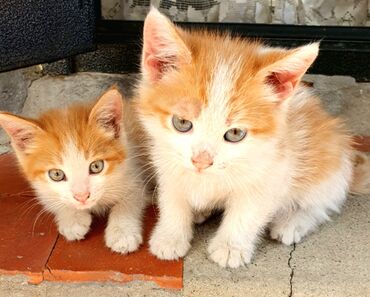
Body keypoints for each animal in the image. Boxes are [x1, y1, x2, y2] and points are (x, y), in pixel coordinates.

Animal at [0, 87, 147, 252]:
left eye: (96, 166)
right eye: (56, 174)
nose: (82, 196)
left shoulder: (135, 172)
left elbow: (130, 200)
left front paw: (122, 233)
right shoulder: (40, 187)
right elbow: (53, 199)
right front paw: (72, 219)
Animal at [135, 8, 370, 268]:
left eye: (235, 134)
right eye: (182, 123)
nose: (201, 161)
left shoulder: (273, 170)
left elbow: (248, 211)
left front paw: (230, 247)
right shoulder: (166, 158)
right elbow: (173, 196)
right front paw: (170, 236)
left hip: (327, 169)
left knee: (322, 204)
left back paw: (291, 223)